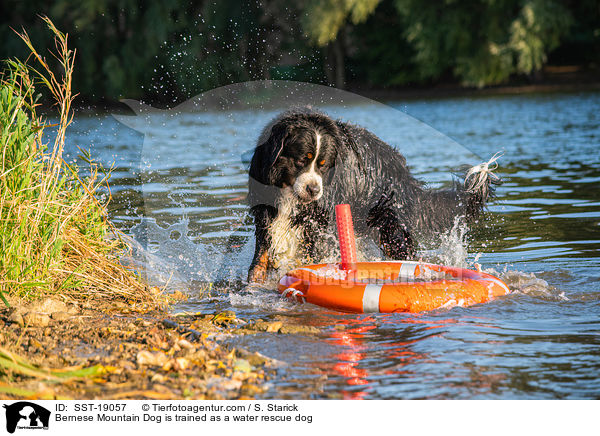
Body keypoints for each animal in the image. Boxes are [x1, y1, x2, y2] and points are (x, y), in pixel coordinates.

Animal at [246, 108, 500, 282]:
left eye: (323, 165)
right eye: (301, 160)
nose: (314, 189)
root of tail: (402, 172)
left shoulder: (318, 224)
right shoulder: (265, 211)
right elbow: (261, 254)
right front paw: (254, 281)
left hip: (391, 227)